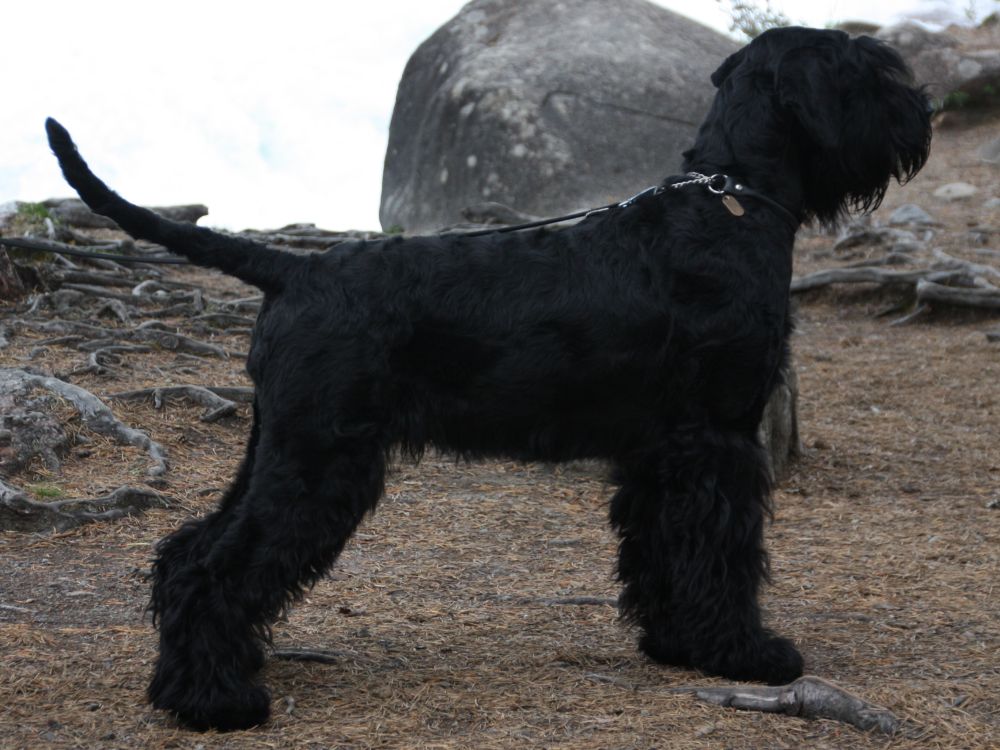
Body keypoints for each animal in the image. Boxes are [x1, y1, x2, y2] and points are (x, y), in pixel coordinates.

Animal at [43, 26, 932, 732]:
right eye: (865, 71)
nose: (922, 109)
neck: (729, 204)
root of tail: (294, 270)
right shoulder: (717, 441)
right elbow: (723, 553)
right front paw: (747, 652)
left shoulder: (659, 452)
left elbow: (661, 551)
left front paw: (675, 644)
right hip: (322, 458)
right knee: (217, 565)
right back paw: (216, 702)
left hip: (282, 445)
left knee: (187, 551)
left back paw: (200, 680)